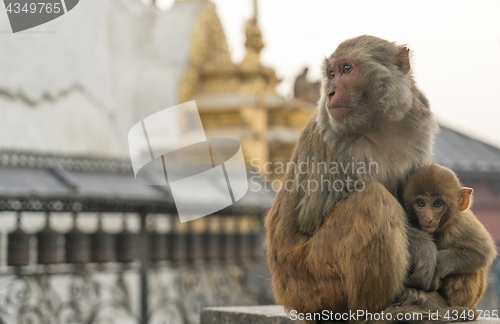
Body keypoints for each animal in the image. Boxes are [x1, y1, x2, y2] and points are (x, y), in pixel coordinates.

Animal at [266, 36, 464, 322]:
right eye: (332, 74)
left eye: (346, 69)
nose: (330, 92)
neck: (379, 127)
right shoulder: (334, 140)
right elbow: (312, 218)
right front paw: (424, 246)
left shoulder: (419, 127)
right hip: (309, 280)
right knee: (372, 199)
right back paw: (374, 312)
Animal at [404, 163, 498, 310]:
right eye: (420, 203)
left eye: (437, 203)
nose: (428, 219)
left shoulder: (459, 224)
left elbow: (482, 251)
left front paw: (437, 268)